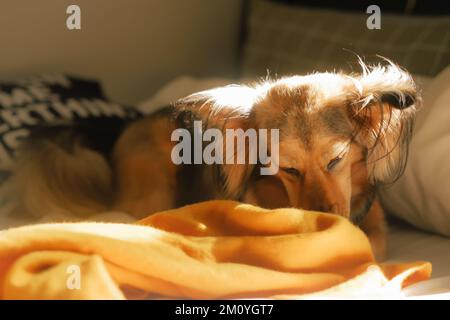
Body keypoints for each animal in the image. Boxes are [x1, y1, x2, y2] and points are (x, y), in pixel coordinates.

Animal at [2, 62, 418, 260]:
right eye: (289, 170)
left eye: (336, 161)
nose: (325, 218)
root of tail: (128, 125)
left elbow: (375, 243)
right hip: (154, 179)